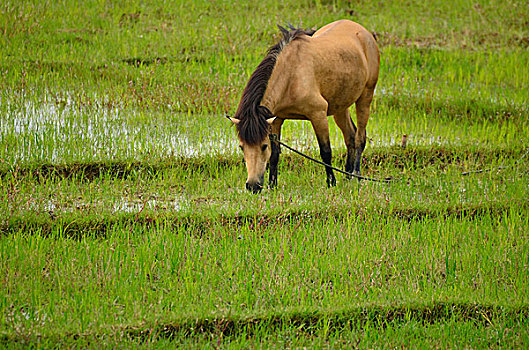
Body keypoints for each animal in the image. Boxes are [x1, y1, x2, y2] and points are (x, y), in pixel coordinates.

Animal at [227, 19, 380, 194]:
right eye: (241, 147)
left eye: (264, 146)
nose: (253, 186)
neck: (291, 75)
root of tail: (364, 33)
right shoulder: (276, 119)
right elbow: (275, 154)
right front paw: (273, 185)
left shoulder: (318, 114)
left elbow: (325, 151)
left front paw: (331, 183)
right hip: (341, 105)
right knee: (350, 136)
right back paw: (347, 177)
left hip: (365, 96)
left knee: (360, 138)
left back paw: (356, 175)